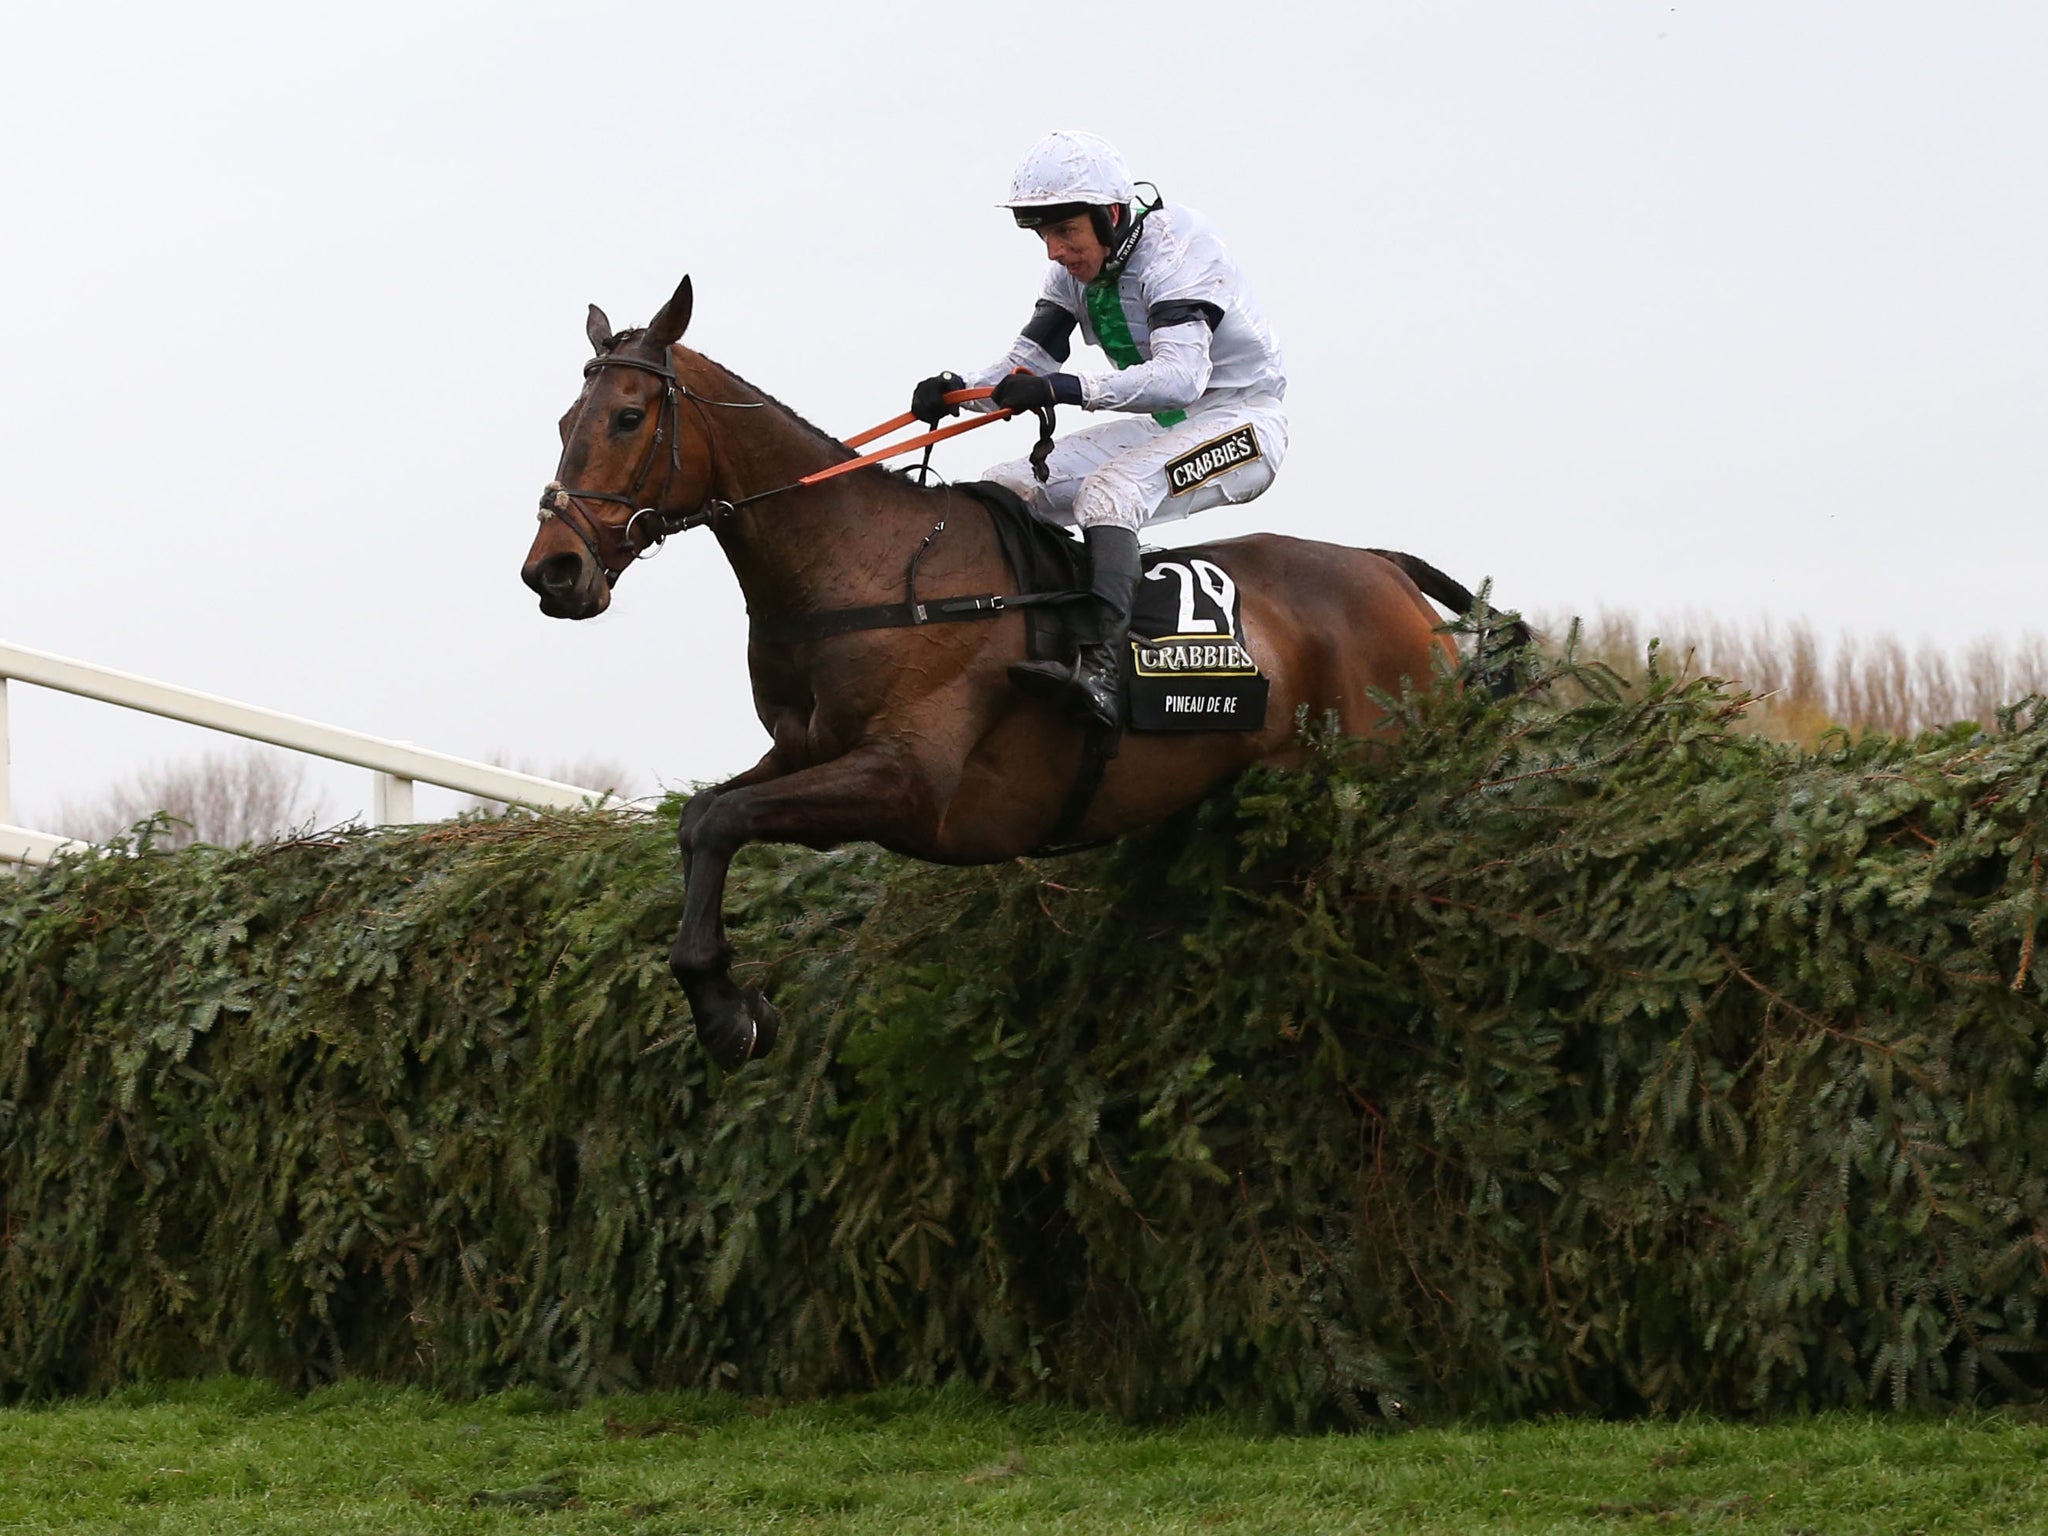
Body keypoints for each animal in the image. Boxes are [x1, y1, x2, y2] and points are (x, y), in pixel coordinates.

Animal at [524, 276, 1523, 1073]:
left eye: (627, 417)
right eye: (565, 422)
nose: (553, 572)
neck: (864, 568)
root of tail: (1385, 570)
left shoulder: (907, 784)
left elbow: (723, 820)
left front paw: (731, 1015)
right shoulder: (805, 754)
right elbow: (703, 818)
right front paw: (728, 1002)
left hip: (1380, 754)